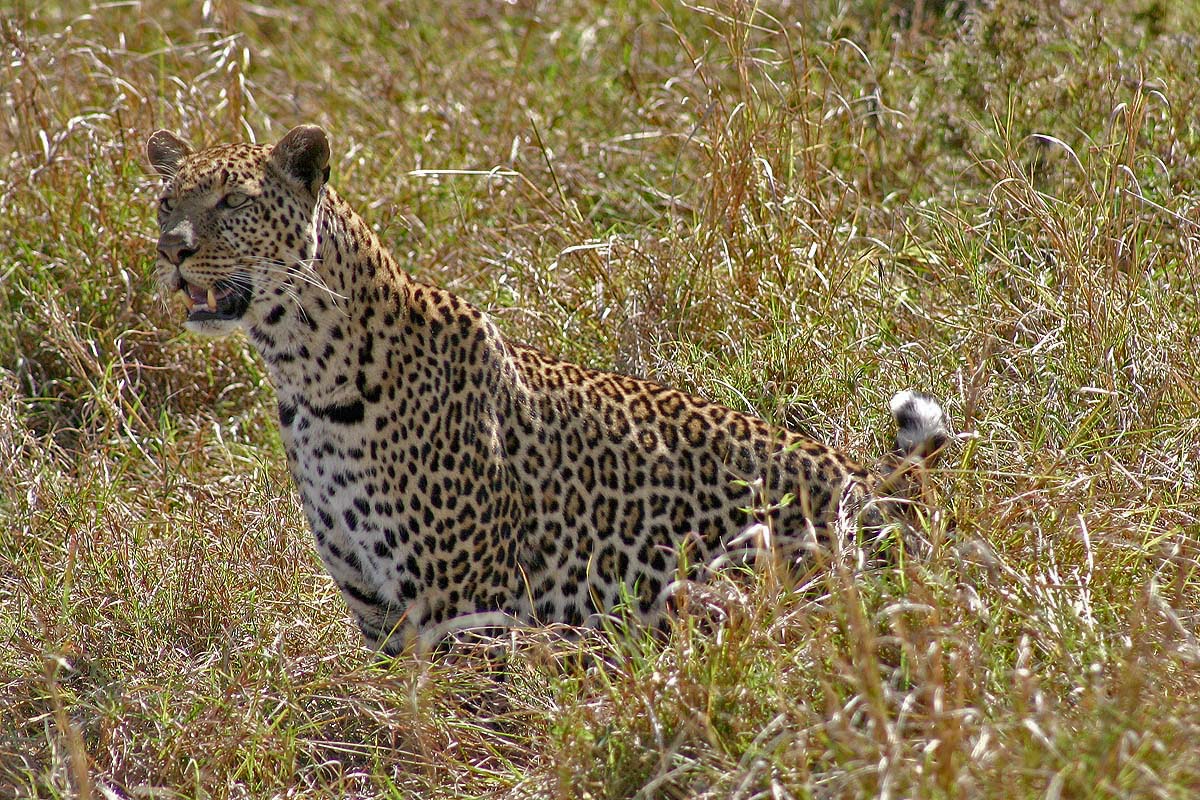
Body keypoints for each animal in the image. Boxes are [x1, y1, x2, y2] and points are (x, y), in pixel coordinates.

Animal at [146, 125, 952, 655]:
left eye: (232, 202)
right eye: (166, 202)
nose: (170, 250)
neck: (311, 372)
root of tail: (872, 483)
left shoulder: (465, 607)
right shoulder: (376, 610)